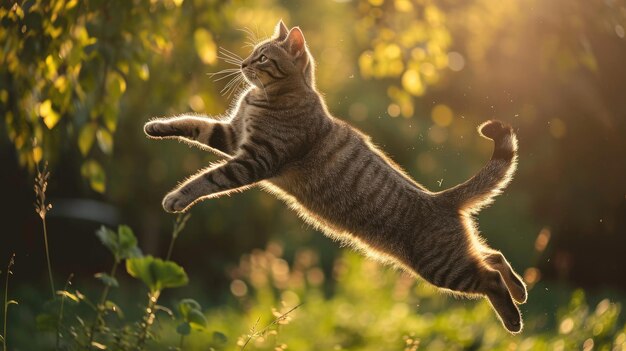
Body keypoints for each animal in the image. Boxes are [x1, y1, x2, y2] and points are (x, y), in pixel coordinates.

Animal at [144, 20, 524, 334]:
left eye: (262, 58)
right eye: (253, 53)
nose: (243, 64)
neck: (266, 98)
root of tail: (440, 198)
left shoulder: (253, 160)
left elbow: (207, 180)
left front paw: (177, 197)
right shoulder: (231, 137)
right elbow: (191, 123)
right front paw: (156, 126)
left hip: (442, 267)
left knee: (490, 277)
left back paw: (513, 319)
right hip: (457, 256)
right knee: (494, 256)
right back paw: (520, 291)